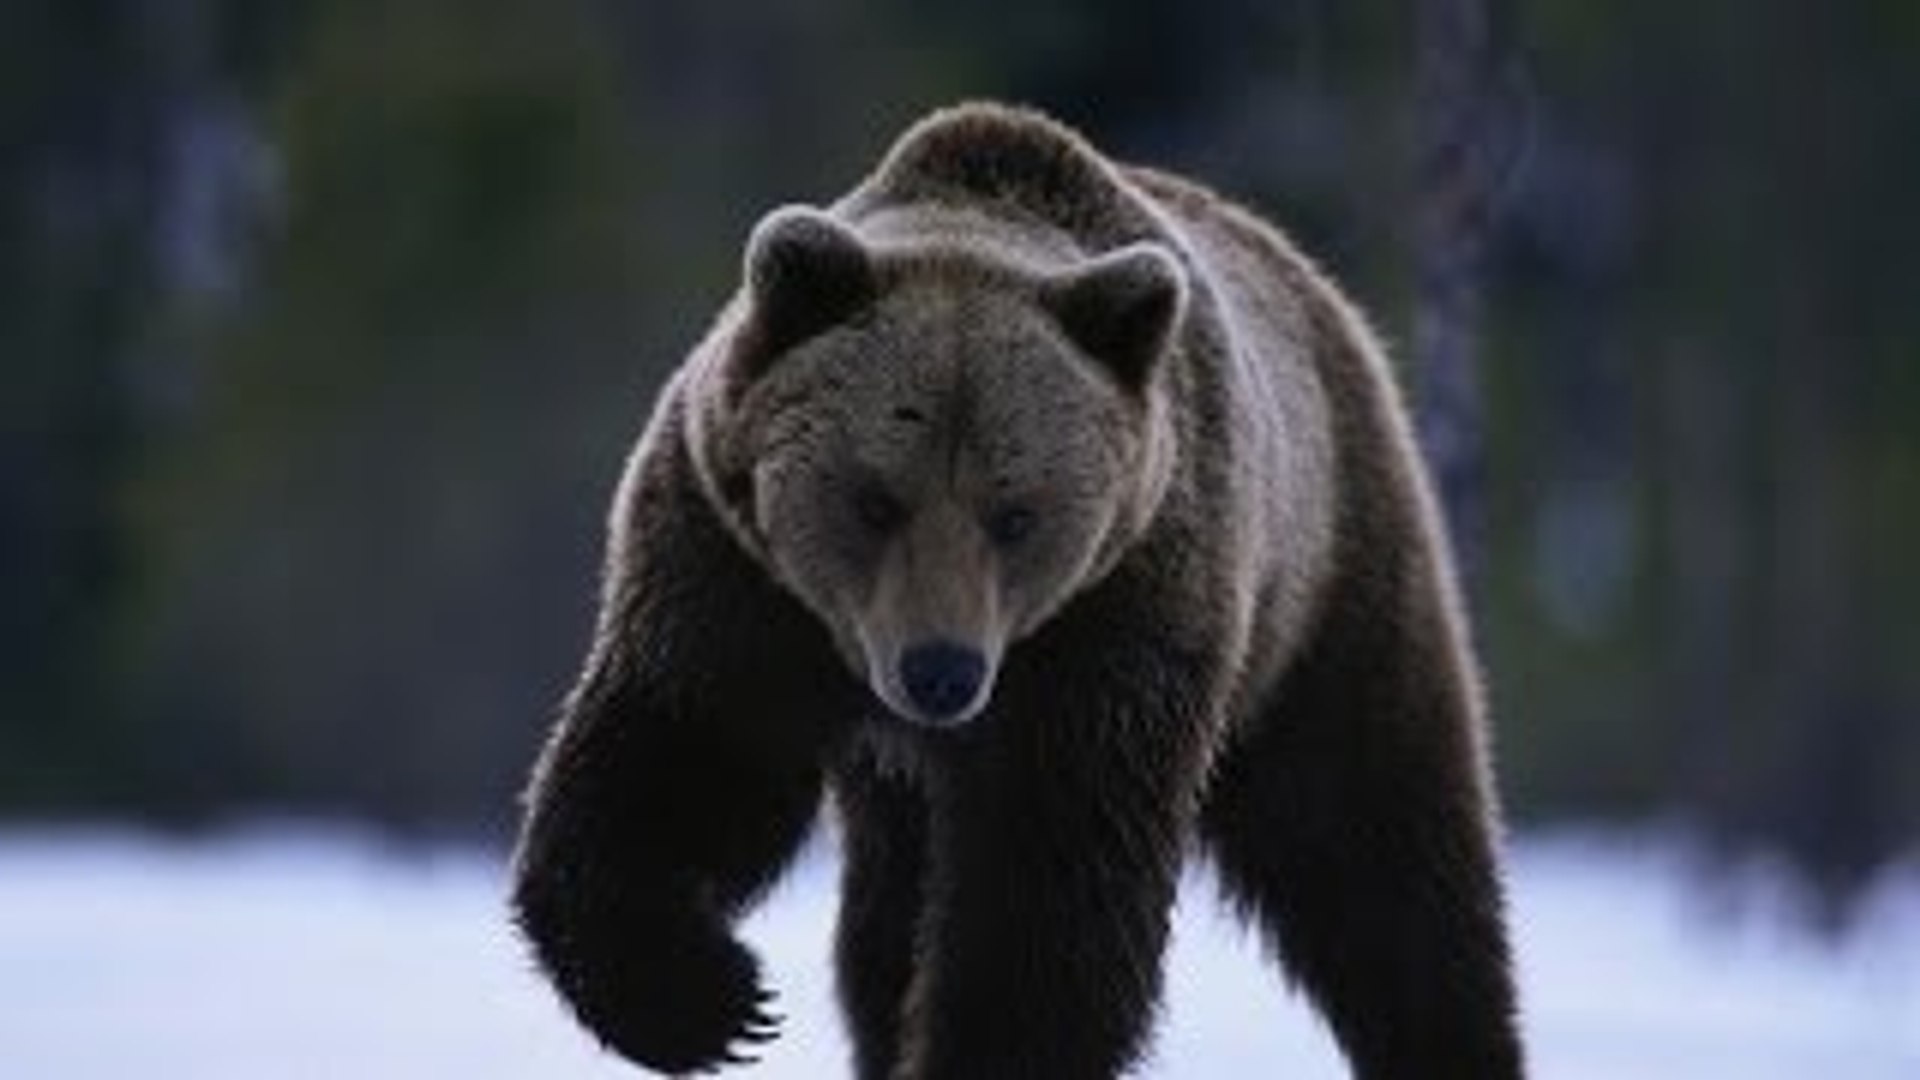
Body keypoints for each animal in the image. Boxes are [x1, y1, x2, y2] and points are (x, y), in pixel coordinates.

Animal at [510, 102, 1524, 1080]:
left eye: (1015, 513)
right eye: (876, 499)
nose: (941, 671)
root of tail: (1319, 289)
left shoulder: (1116, 625)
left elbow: (1049, 896)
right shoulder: (734, 574)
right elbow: (684, 756)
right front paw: (707, 1001)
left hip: (1329, 589)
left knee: (1380, 857)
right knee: (884, 929)